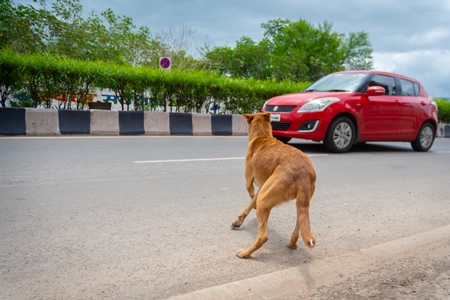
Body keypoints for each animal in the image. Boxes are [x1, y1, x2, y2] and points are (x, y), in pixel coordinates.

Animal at [232, 112, 316, 258]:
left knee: (263, 236)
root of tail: (303, 174)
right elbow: (250, 203)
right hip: (300, 203)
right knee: (300, 224)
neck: (262, 135)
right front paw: (239, 220)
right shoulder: (262, 187)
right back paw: (292, 243)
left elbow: (251, 196)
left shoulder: (249, 183)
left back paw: (245, 253)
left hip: (264, 199)